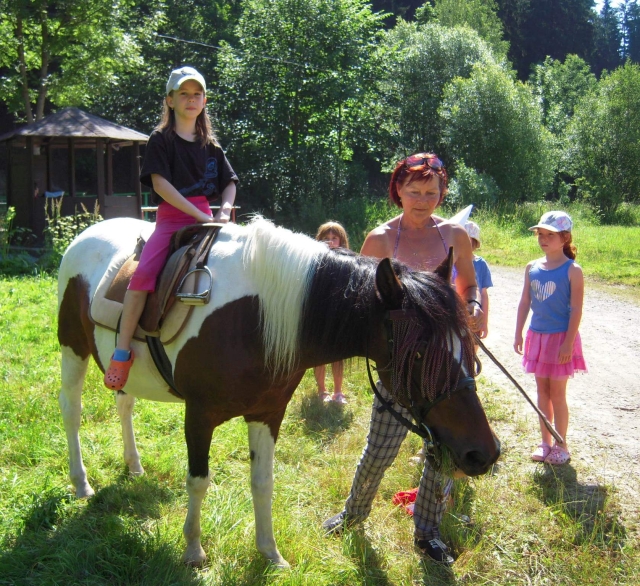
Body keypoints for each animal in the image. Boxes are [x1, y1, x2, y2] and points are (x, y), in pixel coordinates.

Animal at [57, 216, 500, 568]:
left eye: (468, 346)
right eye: (420, 352)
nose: (484, 452)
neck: (257, 316)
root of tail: (88, 234)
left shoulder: (268, 414)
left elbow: (263, 482)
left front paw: (270, 553)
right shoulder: (198, 415)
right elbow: (198, 480)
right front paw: (194, 551)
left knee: (125, 403)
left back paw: (133, 465)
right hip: (72, 351)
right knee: (72, 413)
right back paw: (81, 483)